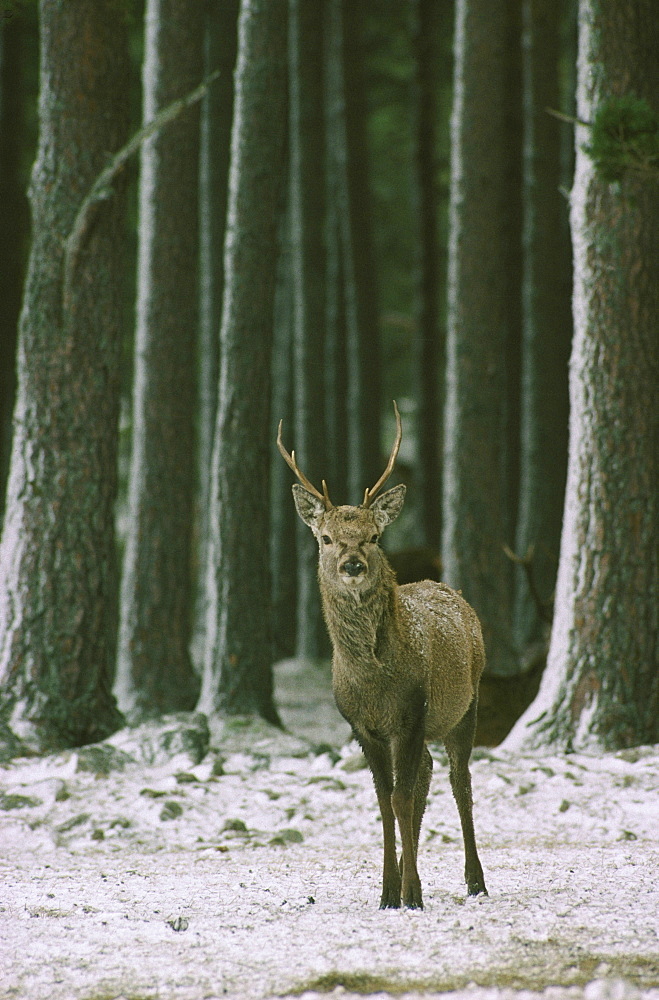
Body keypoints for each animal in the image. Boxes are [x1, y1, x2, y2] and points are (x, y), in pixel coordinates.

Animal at [276, 402, 488, 912]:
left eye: (373, 536)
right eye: (326, 537)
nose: (352, 564)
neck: (374, 684)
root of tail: (449, 590)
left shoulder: (410, 714)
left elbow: (401, 800)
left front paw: (410, 894)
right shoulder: (362, 727)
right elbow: (384, 802)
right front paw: (389, 891)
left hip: (466, 705)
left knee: (460, 781)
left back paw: (475, 880)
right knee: (427, 773)